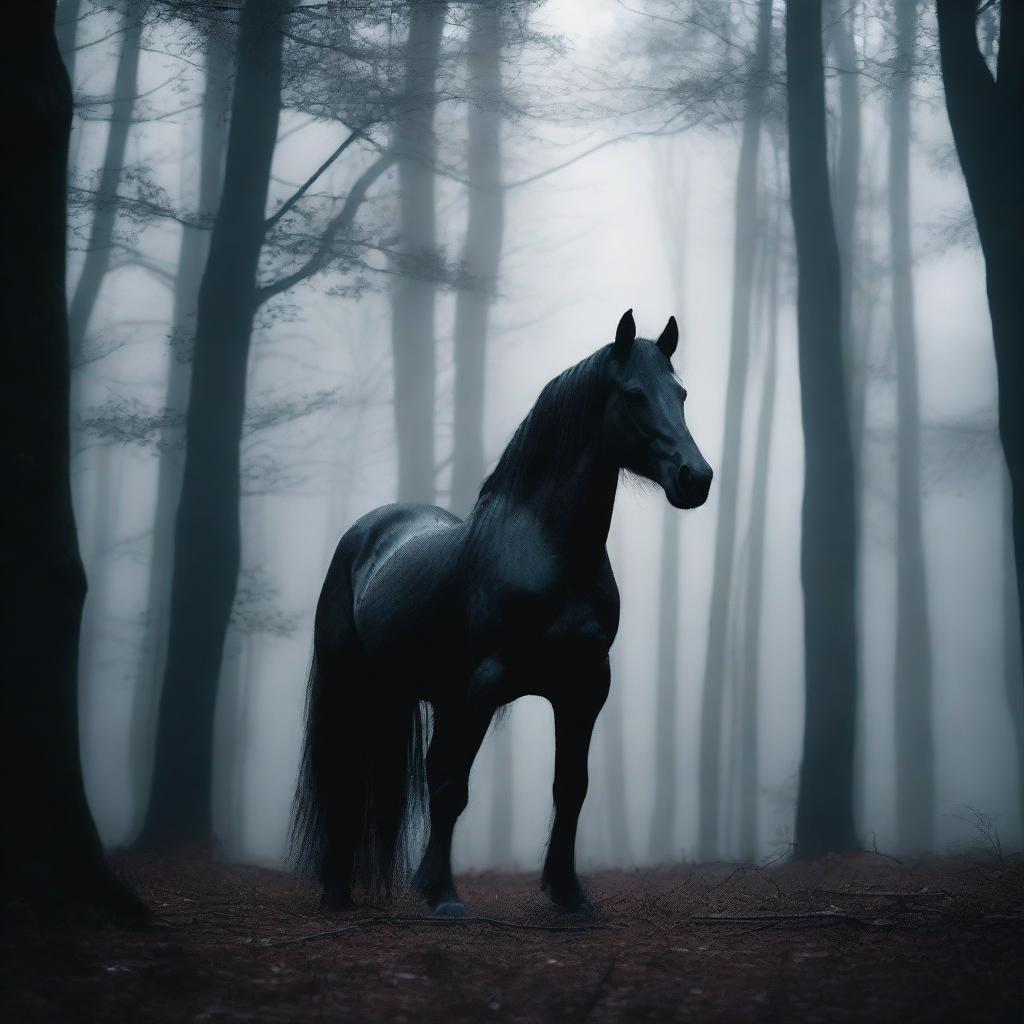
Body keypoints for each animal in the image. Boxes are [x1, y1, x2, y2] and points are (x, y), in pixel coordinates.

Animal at [292, 307, 712, 917]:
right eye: (634, 394)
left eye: (680, 393)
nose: (695, 478)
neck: (547, 551)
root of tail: (368, 530)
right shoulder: (483, 685)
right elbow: (451, 790)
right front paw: (443, 896)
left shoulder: (584, 687)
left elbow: (571, 788)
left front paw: (569, 895)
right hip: (358, 687)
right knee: (347, 774)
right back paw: (336, 893)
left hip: (409, 692)